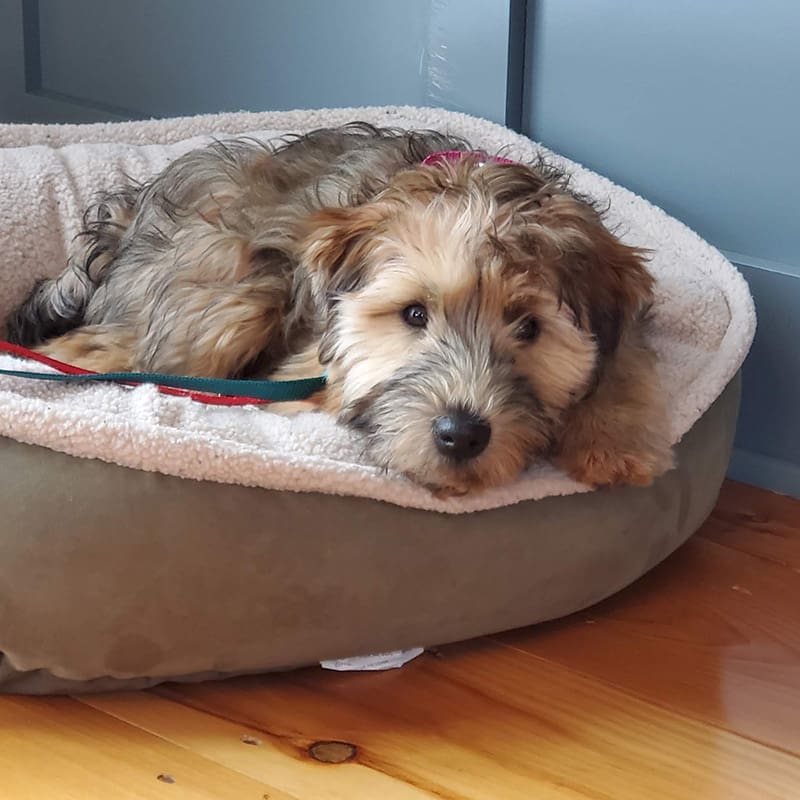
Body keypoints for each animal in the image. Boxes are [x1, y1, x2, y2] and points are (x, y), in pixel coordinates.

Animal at [7, 120, 668, 494]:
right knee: (98, 351)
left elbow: (623, 365)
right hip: (228, 287)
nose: (460, 436)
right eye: (414, 315)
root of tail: (129, 213)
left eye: (530, 327)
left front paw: (610, 443)